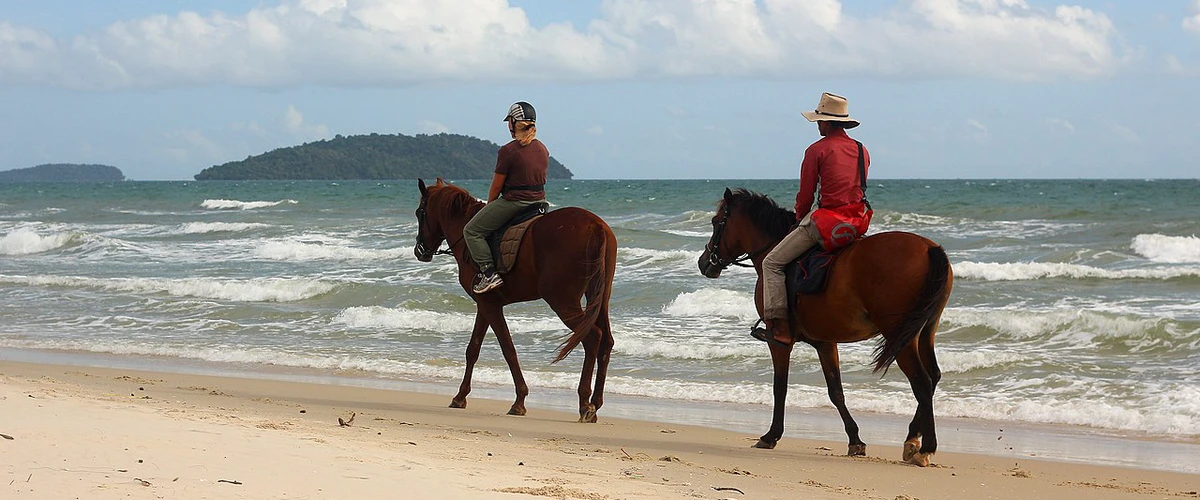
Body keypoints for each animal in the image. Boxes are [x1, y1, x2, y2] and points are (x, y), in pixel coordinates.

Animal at [415, 179, 619, 422]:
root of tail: (595, 225)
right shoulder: (486, 305)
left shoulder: (489, 306)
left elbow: (508, 349)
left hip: (563, 302)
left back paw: (584, 403)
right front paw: (460, 396)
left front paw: (519, 400)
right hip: (600, 297)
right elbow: (473, 349)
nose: (420, 251)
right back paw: (596, 402)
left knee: (592, 337)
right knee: (606, 341)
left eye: (419, 213)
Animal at [700, 187, 950, 462]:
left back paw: (925, 447)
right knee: (933, 376)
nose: (704, 262)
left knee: (922, 382)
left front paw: (771, 435)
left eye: (715, 222)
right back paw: (912, 438)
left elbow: (780, 387)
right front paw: (855, 440)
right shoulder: (825, 342)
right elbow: (835, 391)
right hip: (924, 330)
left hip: (900, 334)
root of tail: (929, 248)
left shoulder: (779, 342)